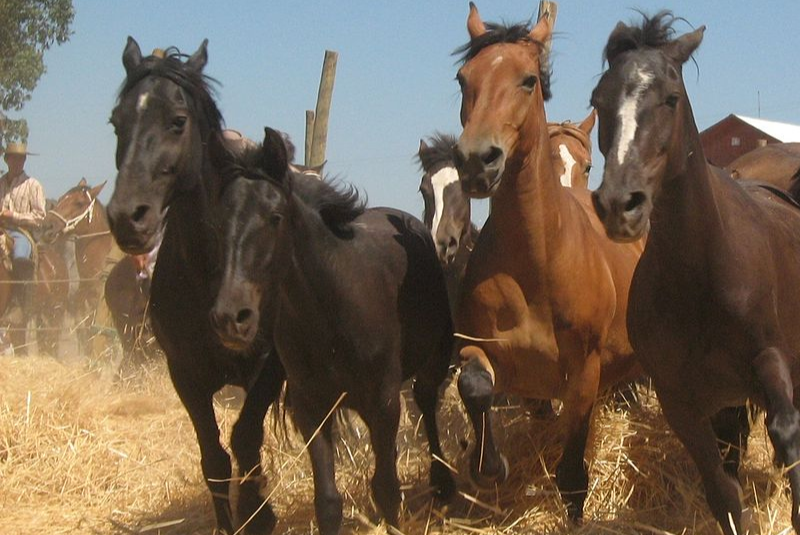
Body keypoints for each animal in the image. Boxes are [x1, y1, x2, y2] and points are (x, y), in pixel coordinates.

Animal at [105, 38, 285, 535]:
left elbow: (245, 437)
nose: (128, 218)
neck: (214, 270)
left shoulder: (267, 367)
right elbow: (214, 459)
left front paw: (259, 512)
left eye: (177, 120)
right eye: (116, 121)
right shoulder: (185, 375)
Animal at [209, 127, 456, 535]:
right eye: (217, 221)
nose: (232, 317)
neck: (331, 307)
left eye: (275, 216)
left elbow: (387, 490)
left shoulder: (385, 399)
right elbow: (328, 501)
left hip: (431, 361)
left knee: (426, 402)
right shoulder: (312, 409)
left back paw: (443, 482)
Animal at [450, 4, 644, 520]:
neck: (536, 266)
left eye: (528, 80)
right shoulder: (490, 355)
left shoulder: (584, 374)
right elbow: (475, 385)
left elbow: (573, 474)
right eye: (463, 78)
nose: (476, 160)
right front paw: (489, 463)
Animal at [590, 12, 800, 535]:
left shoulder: (771, 358)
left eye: (670, 97)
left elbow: (786, 432)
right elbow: (722, 491)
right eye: (598, 102)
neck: (701, 274)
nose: (620, 204)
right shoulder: (680, 401)